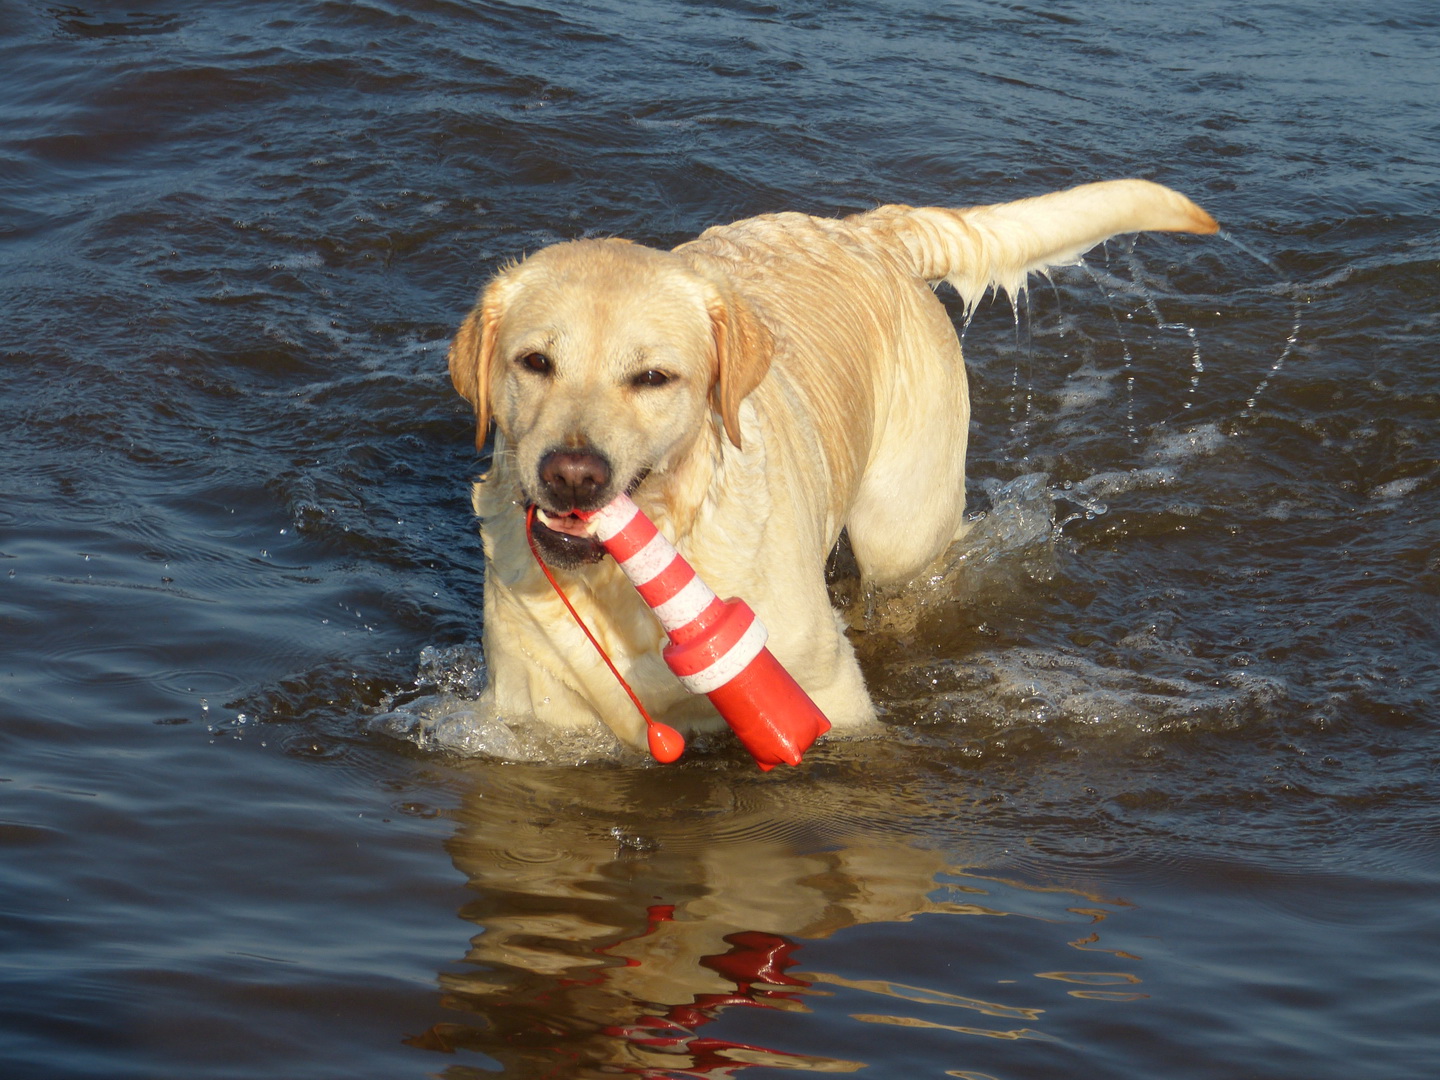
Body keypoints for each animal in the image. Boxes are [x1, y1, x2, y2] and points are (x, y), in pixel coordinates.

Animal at [448, 179, 1217, 753]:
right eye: (535, 362)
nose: (573, 474)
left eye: (653, 377)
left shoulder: (828, 695)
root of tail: (869, 228)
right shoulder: (541, 718)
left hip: (902, 527)